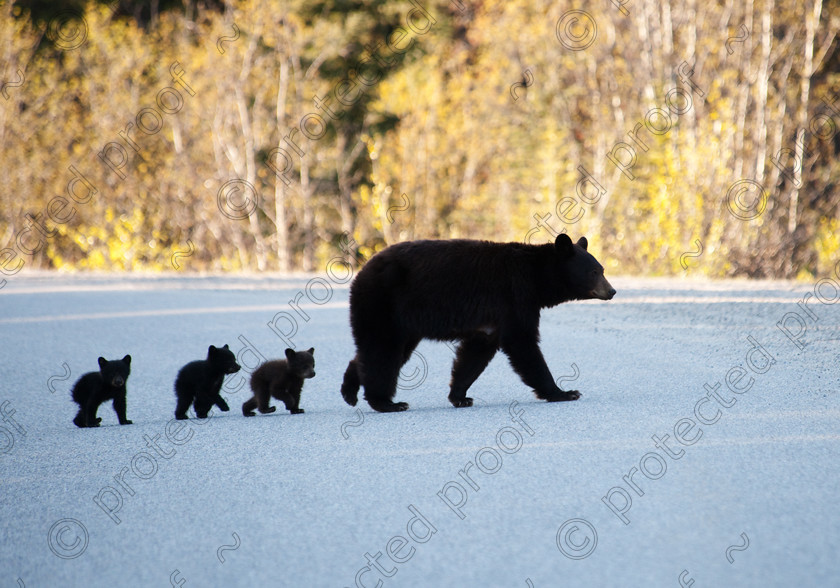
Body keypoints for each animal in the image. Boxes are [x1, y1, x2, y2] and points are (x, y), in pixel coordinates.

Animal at [338, 232, 612, 412]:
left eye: (602, 269)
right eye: (594, 272)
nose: (612, 291)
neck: (536, 277)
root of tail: (362, 271)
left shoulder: (491, 320)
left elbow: (475, 353)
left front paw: (459, 397)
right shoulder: (514, 297)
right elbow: (522, 344)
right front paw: (564, 392)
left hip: (400, 321)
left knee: (378, 352)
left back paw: (350, 391)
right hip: (384, 304)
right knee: (383, 351)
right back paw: (387, 403)